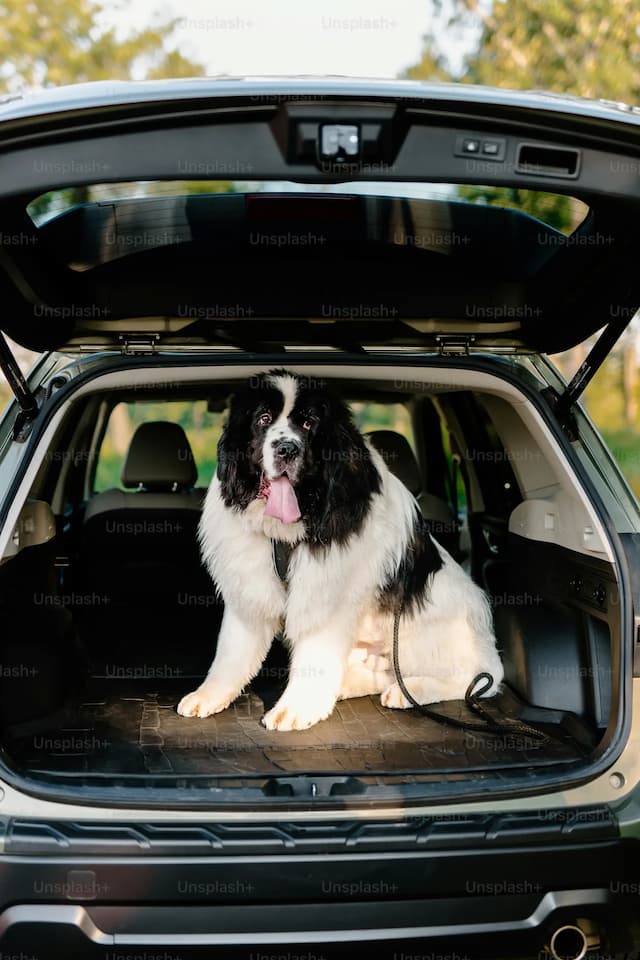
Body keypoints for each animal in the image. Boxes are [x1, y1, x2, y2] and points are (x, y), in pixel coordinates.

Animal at [178, 372, 502, 732]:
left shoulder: (327, 592)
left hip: (423, 632)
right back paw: (348, 685)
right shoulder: (249, 586)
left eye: (309, 424)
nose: (287, 448)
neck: (285, 534)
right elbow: (232, 651)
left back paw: (409, 692)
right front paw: (209, 695)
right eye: (263, 419)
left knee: (479, 678)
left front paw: (295, 708)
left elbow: (313, 654)